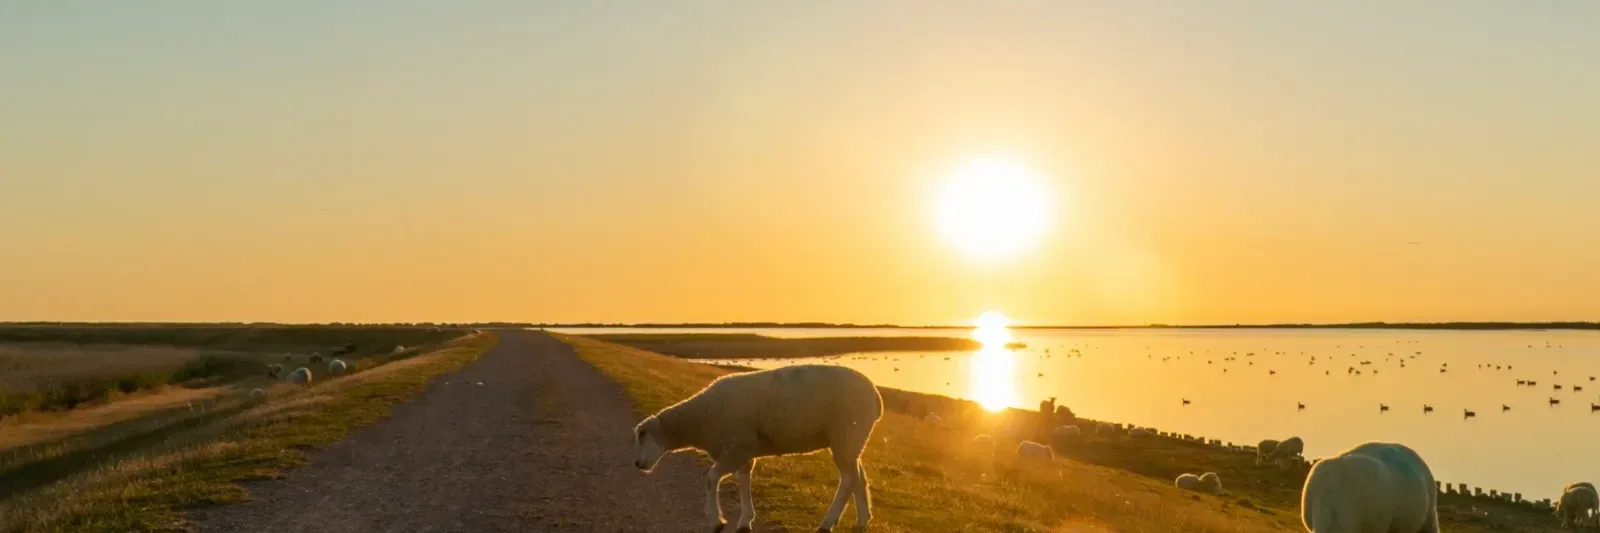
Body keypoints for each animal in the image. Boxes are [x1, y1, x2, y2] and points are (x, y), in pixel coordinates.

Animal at [632, 365, 882, 533]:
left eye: (642, 435)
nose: (637, 464)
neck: (701, 421)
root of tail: (876, 398)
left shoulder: (737, 447)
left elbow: (711, 478)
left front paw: (716, 520)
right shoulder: (741, 450)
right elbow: (743, 480)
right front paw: (745, 520)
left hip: (846, 433)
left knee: (848, 479)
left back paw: (828, 523)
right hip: (851, 439)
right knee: (858, 477)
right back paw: (862, 519)